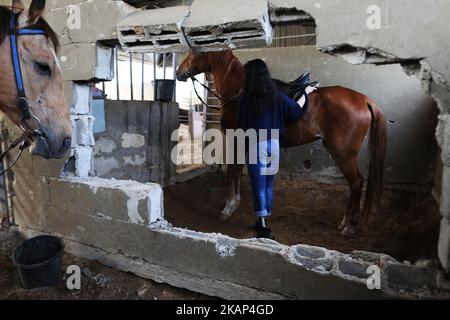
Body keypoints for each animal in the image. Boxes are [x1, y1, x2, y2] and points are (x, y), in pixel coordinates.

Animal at [178, 50, 388, 235]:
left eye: (196, 51)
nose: (180, 71)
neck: (240, 91)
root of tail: (364, 100)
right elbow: (237, 173)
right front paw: (234, 204)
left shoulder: (236, 140)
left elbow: (232, 173)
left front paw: (228, 209)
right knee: (354, 184)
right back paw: (344, 222)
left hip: (343, 154)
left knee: (357, 183)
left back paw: (349, 227)